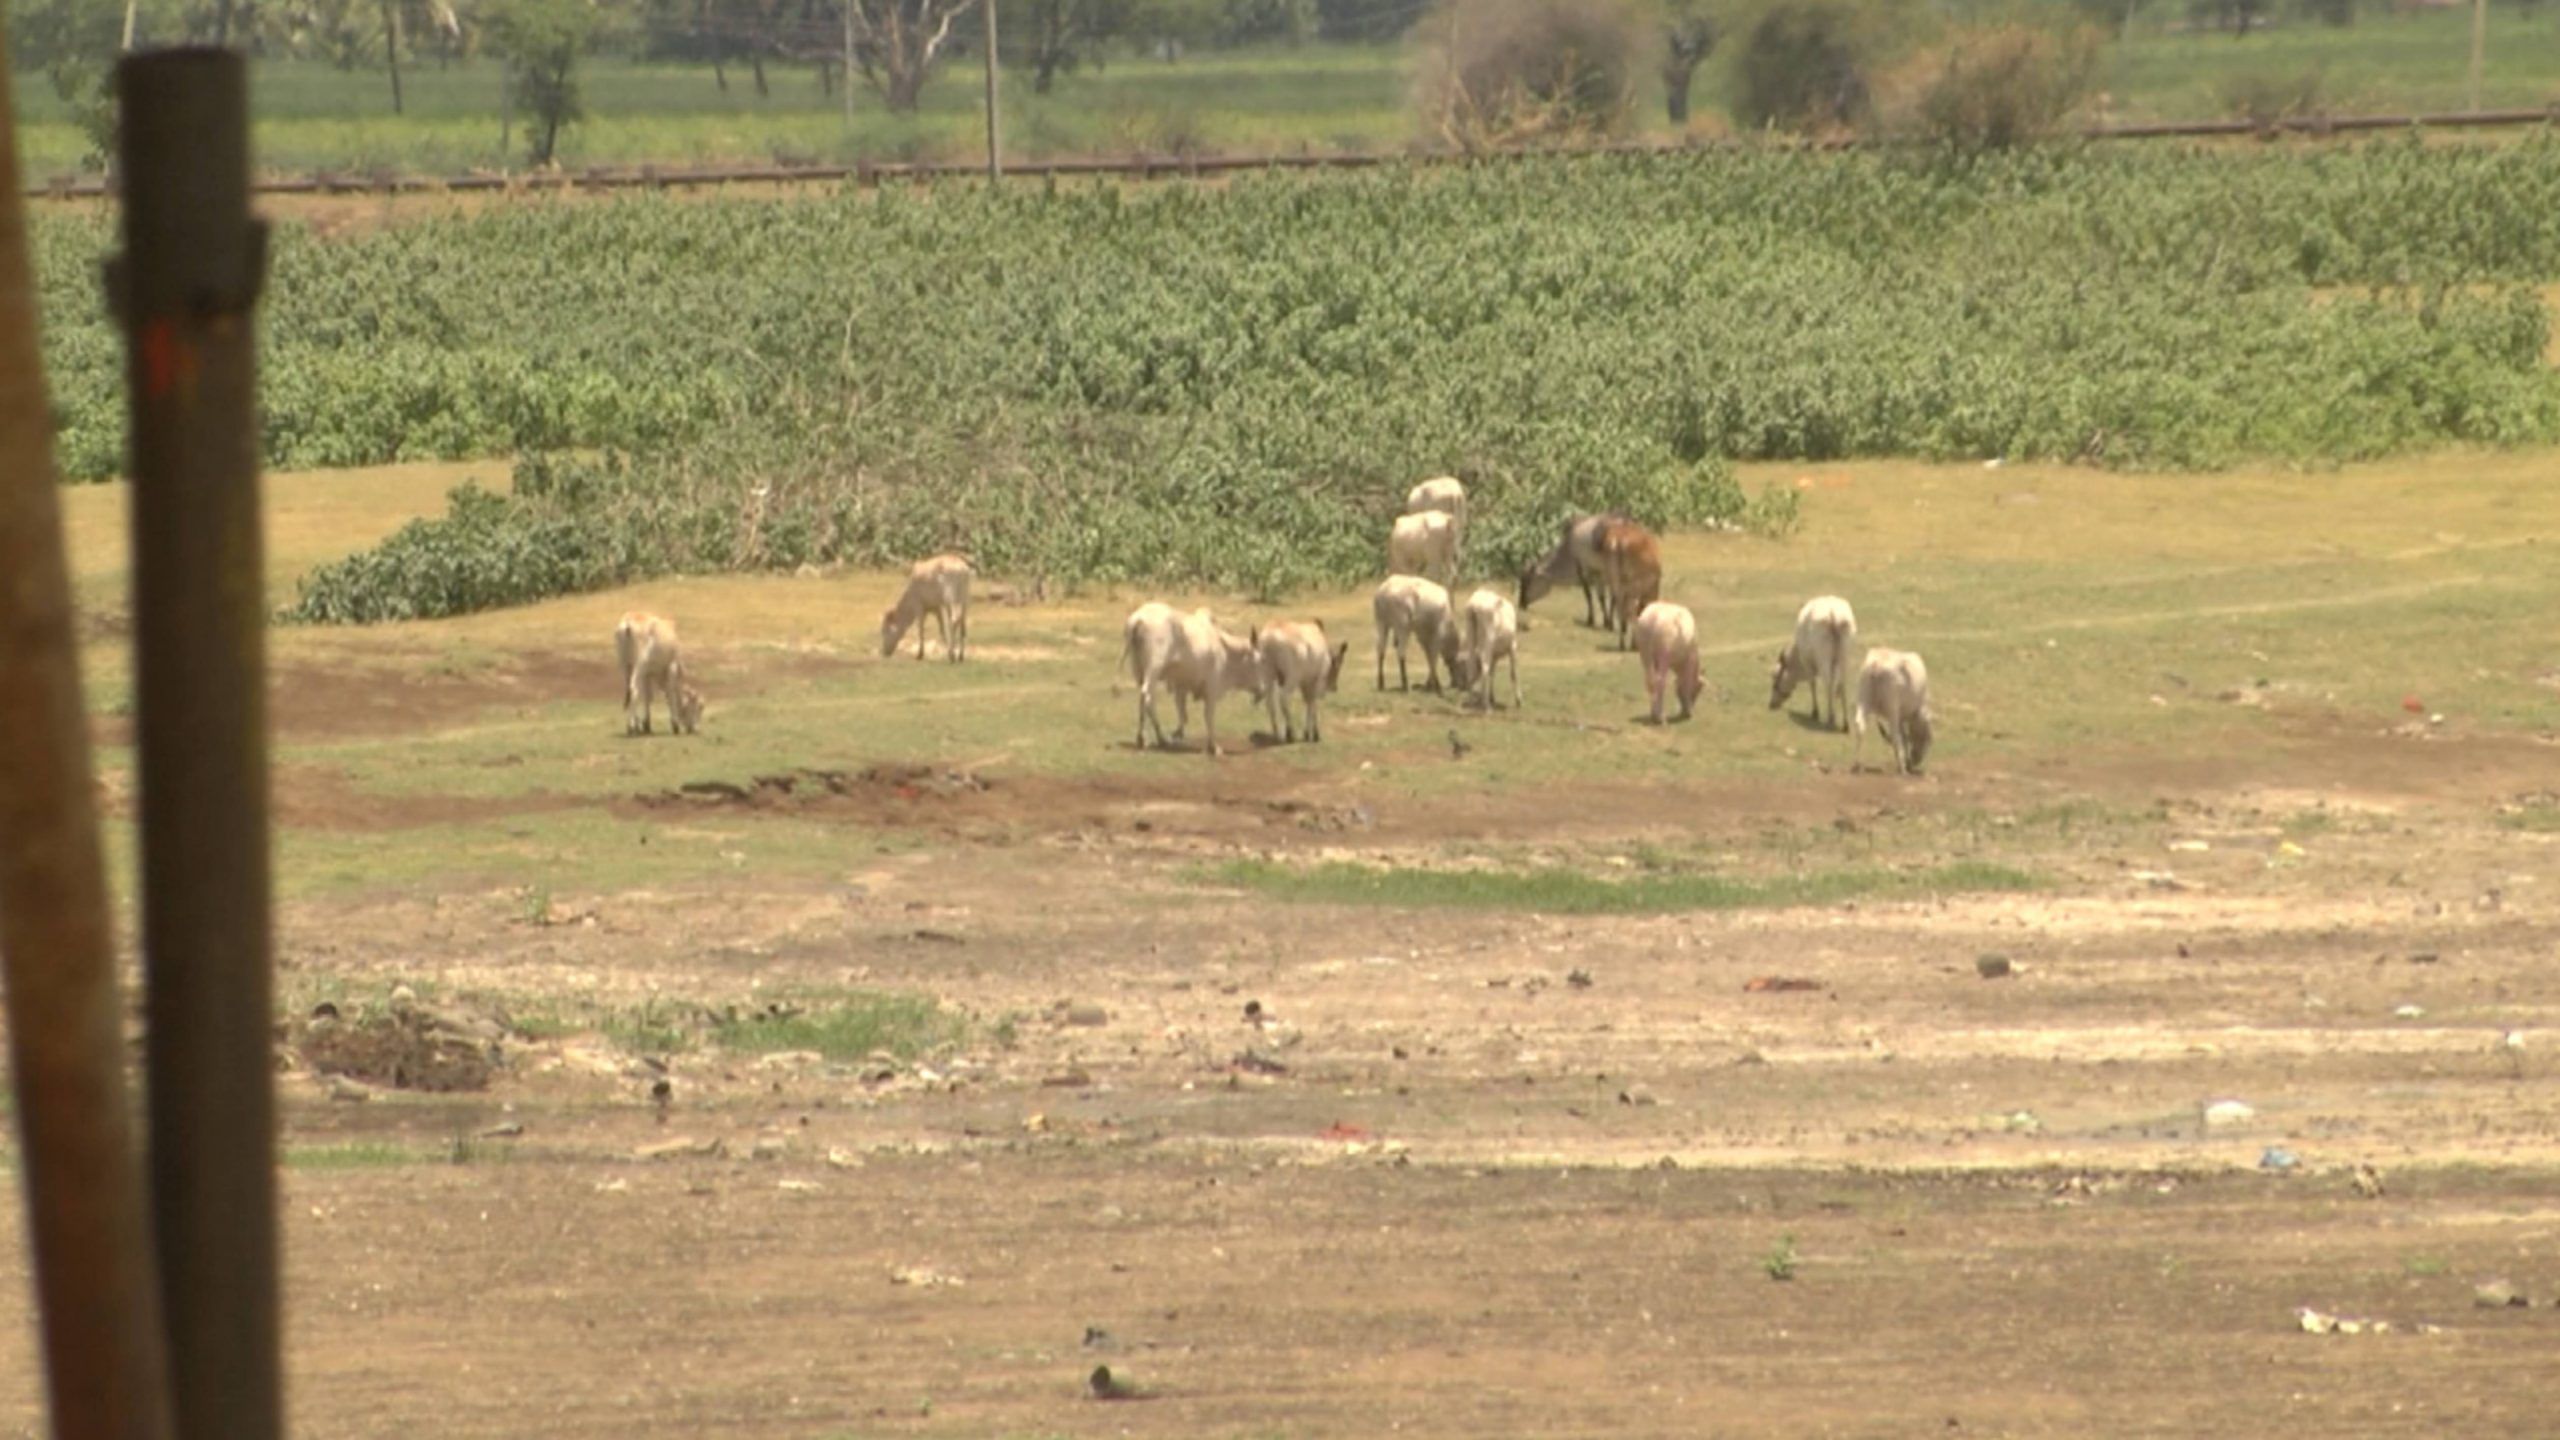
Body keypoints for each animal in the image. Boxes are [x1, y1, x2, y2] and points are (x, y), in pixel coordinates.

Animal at [1116, 597, 1264, 758]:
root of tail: (1139, 618)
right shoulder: (1212, 689)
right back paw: (1151, 738)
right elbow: (1208, 717)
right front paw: (1214, 747)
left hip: (1138, 669)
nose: (1262, 691)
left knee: (1144, 698)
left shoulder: (1181, 686)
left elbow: (1183, 714)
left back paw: (1148, 738)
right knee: (1147, 697)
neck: (1225, 650)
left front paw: (1177, 734)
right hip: (1154, 668)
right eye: (1258, 661)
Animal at [1597, 515, 1658, 650]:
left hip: (1615, 581)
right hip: (1631, 586)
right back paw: (1632, 643)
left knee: (1620, 608)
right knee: (1629, 610)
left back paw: (1622, 642)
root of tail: (1618, 541)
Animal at [1761, 594, 1863, 727]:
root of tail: (1833, 613)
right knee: (1842, 684)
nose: (1771, 704)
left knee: (1828, 684)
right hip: (1844, 656)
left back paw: (1831, 718)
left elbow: (1812, 684)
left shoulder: (1808, 664)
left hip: (1824, 658)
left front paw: (1815, 712)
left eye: (1775, 676)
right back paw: (1845, 723)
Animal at [1853, 640, 1925, 773]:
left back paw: (1856, 764)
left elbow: (1904, 736)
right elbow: (1903, 736)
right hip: (1892, 709)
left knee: (1860, 726)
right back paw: (1902, 769)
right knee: (1895, 734)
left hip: (1863, 699)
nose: (1915, 761)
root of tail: (1876, 664)